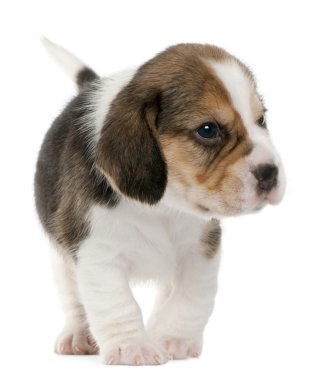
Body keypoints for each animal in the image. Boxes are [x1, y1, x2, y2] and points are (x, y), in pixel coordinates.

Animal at [35, 39, 284, 366]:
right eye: (208, 130)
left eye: (262, 119)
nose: (271, 173)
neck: (164, 207)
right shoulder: (98, 254)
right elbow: (118, 303)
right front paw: (132, 348)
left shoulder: (201, 250)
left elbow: (191, 298)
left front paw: (174, 339)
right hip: (62, 257)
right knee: (73, 297)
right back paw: (78, 335)